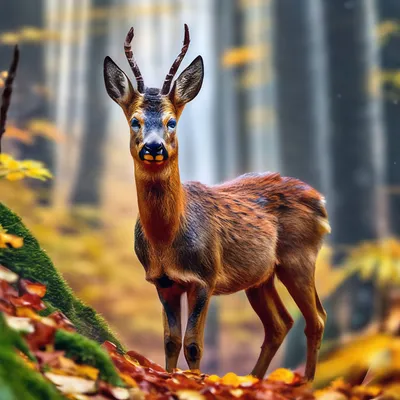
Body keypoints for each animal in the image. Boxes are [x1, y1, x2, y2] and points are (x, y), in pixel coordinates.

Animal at [104, 25, 332, 382]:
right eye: (134, 121)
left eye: (171, 121)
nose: (153, 148)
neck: (167, 238)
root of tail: (319, 199)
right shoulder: (163, 281)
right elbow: (170, 340)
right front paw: (173, 377)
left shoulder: (205, 277)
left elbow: (193, 344)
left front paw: (195, 382)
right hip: (261, 276)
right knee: (280, 323)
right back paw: (254, 379)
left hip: (299, 257)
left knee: (316, 318)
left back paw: (305, 383)